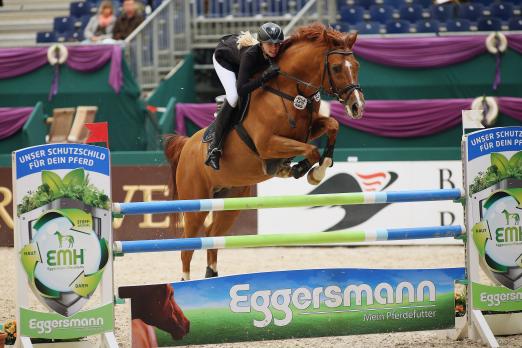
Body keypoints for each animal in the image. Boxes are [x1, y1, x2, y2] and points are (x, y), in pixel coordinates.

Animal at [165, 23, 364, 280]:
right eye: (337, 67)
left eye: (356, 65)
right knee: (187, 244)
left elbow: (332, 126)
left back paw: (212, 274)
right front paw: (304, 171)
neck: (291, 90)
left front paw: (317, 168)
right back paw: (185, 281)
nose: (357, 106)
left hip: (232, 199)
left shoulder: (307, 130)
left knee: (212, 235)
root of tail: (187, 145)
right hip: (196, 200)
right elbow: (310, 150)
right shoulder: (268, 143)